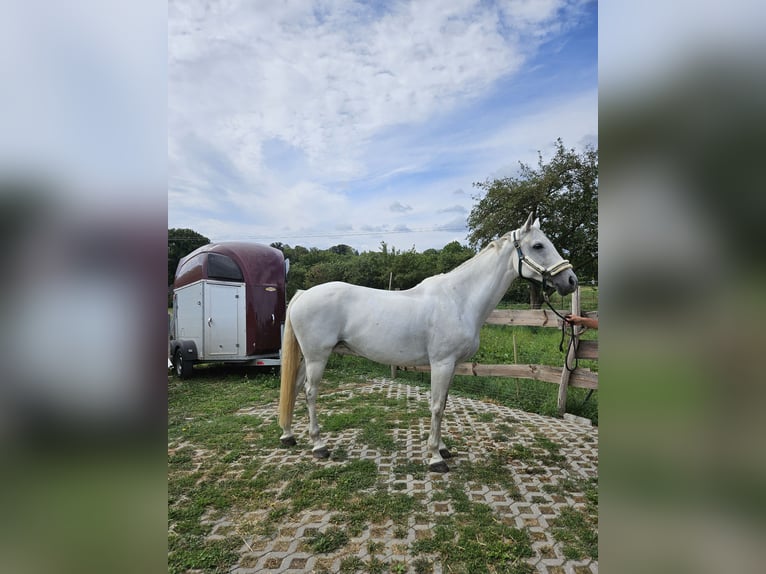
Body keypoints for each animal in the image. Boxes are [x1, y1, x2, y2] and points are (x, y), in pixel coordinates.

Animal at [280, 215, 580, 472]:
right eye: (538, 245)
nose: (571, 280)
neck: (459, 299)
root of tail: (303, 293)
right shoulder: (442, 363)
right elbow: (436, 406)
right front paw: (436, 457)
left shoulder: (452, 366)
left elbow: (444, 404)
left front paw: (443, 448)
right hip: (318, 357)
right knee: (310, 392)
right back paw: (319, 445)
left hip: (308, 357)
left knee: (295, 386)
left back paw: (288, 435)